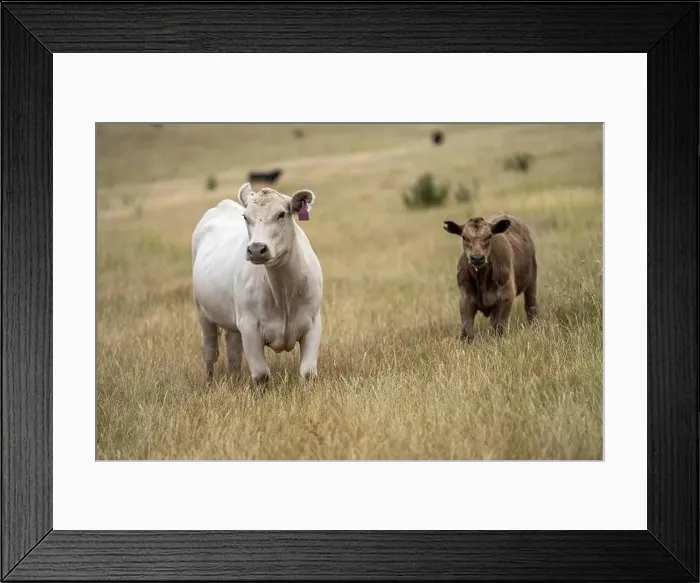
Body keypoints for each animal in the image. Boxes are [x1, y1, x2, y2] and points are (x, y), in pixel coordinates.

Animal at [191, 183, 323, 384]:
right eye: (246, 217)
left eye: (281, 214)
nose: (256, 249)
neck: (283, 293)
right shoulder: (249, 326)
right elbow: (261, 375)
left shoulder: (313, 322)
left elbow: (308, 373)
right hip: (203, 311)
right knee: (209, 348)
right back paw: (210, 381)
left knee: (233, 348)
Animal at [442, 213, 537, 342]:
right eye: (464, 237)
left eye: (489, 236)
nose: (477, 258)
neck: (482, 280)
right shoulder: (465, 299)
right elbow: (467, 331)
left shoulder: (506, 296)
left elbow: (498, 327)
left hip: (532, 280)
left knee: (530, 306)